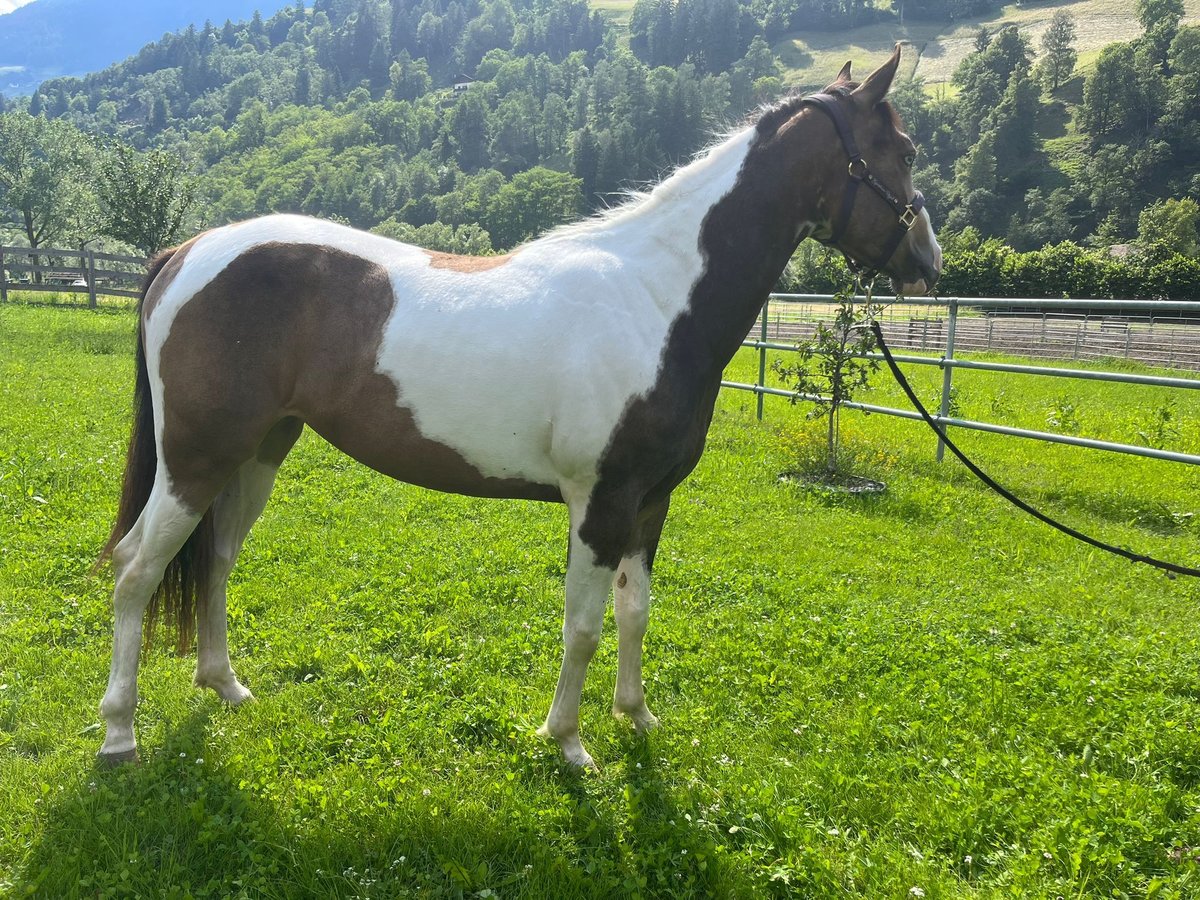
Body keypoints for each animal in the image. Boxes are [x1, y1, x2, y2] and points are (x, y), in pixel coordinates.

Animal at [96, 45, 936, 768]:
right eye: (905, 150)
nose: (928, 260)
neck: (653, 298)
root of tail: (187, 253)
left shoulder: (650, 504)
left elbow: (635, 612)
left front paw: (636, 716)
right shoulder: (601, 503)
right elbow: (585, 625)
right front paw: (567, 742)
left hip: (257, 452)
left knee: (214, 559)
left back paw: (224, 685)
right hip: (197, 459)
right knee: (137, 569)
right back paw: (118, 736)